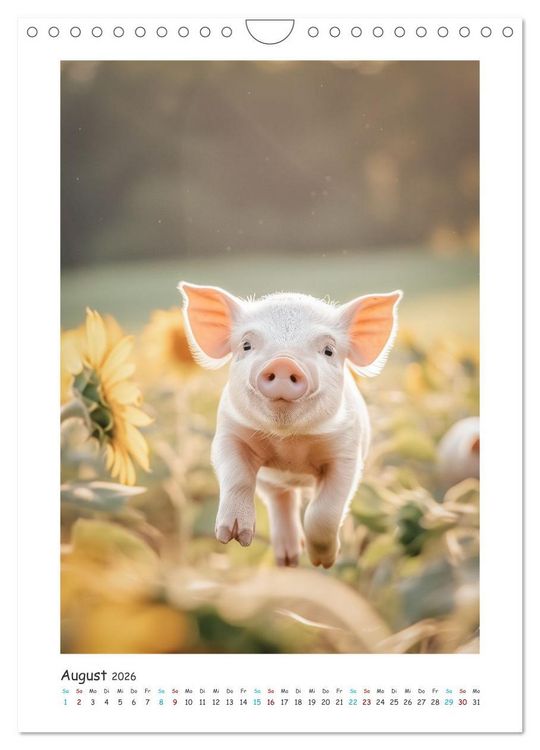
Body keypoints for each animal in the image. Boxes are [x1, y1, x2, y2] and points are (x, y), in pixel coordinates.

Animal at [178, 282, 402, 569]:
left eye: (328, 350)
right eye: (246, 345)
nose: (283, 362)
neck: (289, 446)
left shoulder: (347, 455)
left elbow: (324, 511)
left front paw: (323, 563)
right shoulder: (229, 434)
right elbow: (237, 477)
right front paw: (232, 537)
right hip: (270, 480)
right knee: (280, 499)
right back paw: (286, 561)